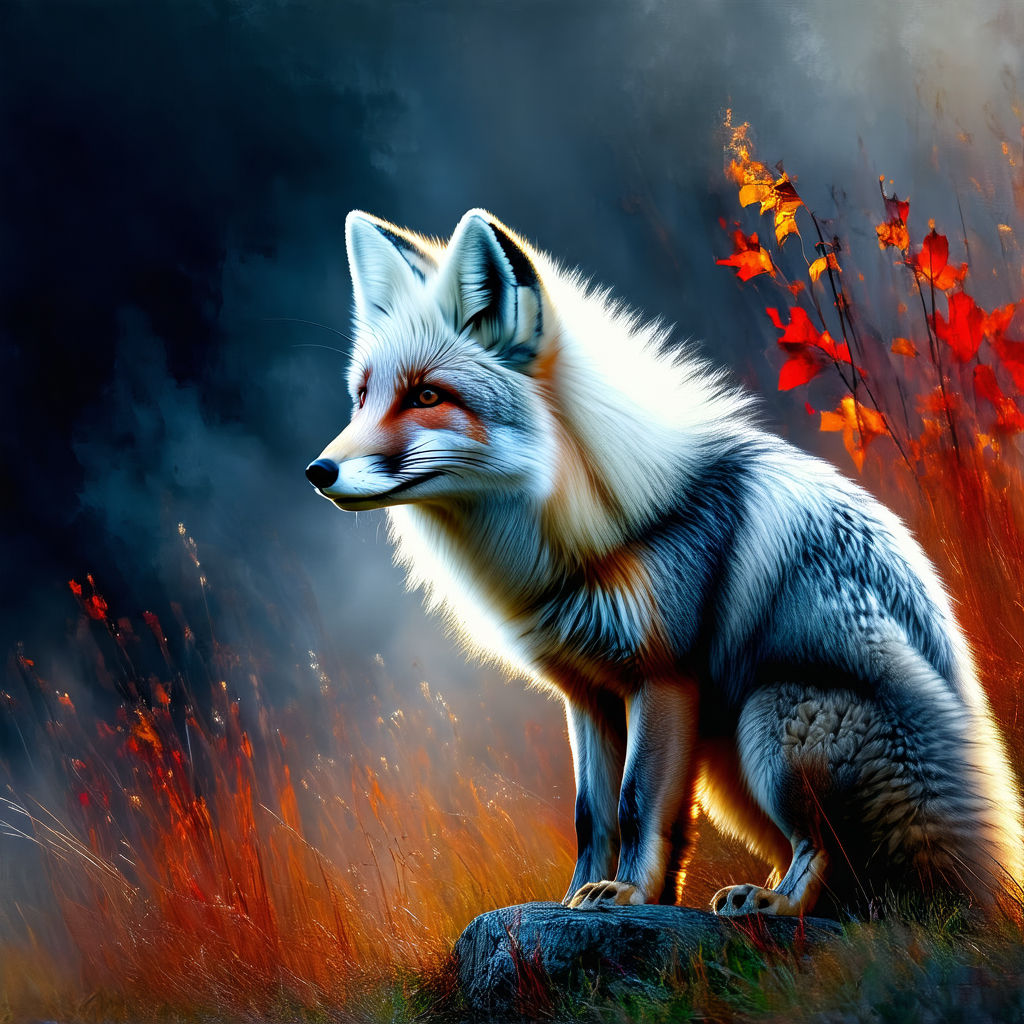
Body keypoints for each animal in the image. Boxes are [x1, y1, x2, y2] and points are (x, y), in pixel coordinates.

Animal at [305, 207, 1024, 918]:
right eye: (363, 396)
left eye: (427, 397)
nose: (319, 471)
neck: (593, 529)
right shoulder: (588, 693)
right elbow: (595, 816)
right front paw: (585, 898)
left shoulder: (665, 678)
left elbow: (637, 804)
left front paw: (625, 894)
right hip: (731, 766)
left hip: (769, 719)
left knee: (823, 853)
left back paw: (775, 902)